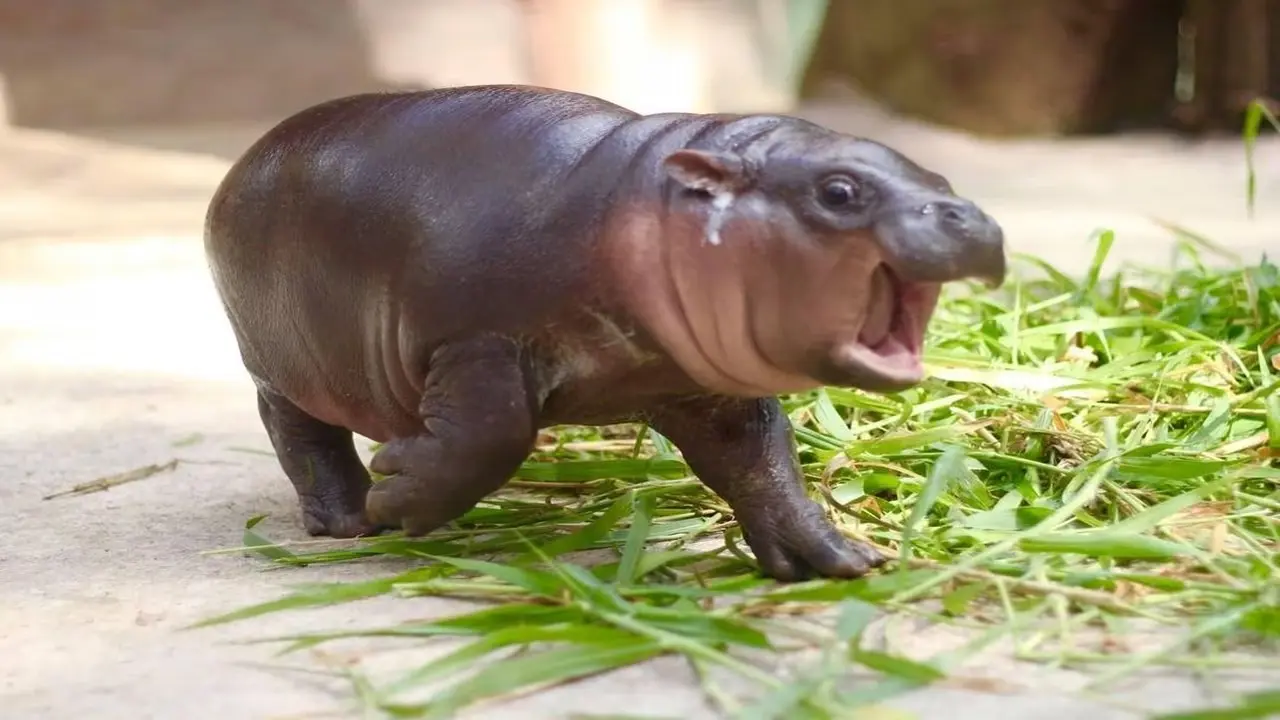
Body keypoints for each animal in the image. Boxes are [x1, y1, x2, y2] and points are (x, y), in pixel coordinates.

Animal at [203, 84, 1005, 581]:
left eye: (942, 179)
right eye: (840, 191)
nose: (974, 221)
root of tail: (237, 168)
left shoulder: (700, 387)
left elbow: (763, 461)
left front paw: (837, 558)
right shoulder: (476, 346)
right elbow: (491, 439)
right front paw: (397, 493)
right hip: (281, 361)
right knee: (297, 429)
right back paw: (348, 520)